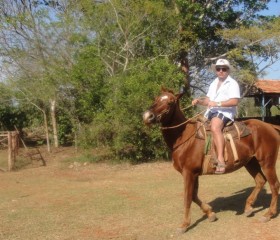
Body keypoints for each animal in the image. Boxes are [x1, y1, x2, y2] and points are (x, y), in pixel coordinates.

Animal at [143, 88, 278, 232]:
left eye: (170, 102)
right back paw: (248, 207)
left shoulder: (188, 173)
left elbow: (187, 197)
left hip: (267, 163)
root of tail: (270, 126)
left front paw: (184, 224)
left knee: (274, 185)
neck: (186, 138)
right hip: (250, 162)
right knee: (260, 181)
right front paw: (210, 214)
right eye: (156, 98)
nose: (147, 116)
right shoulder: (194, 174)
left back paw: (268, 214)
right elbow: (194, 195)